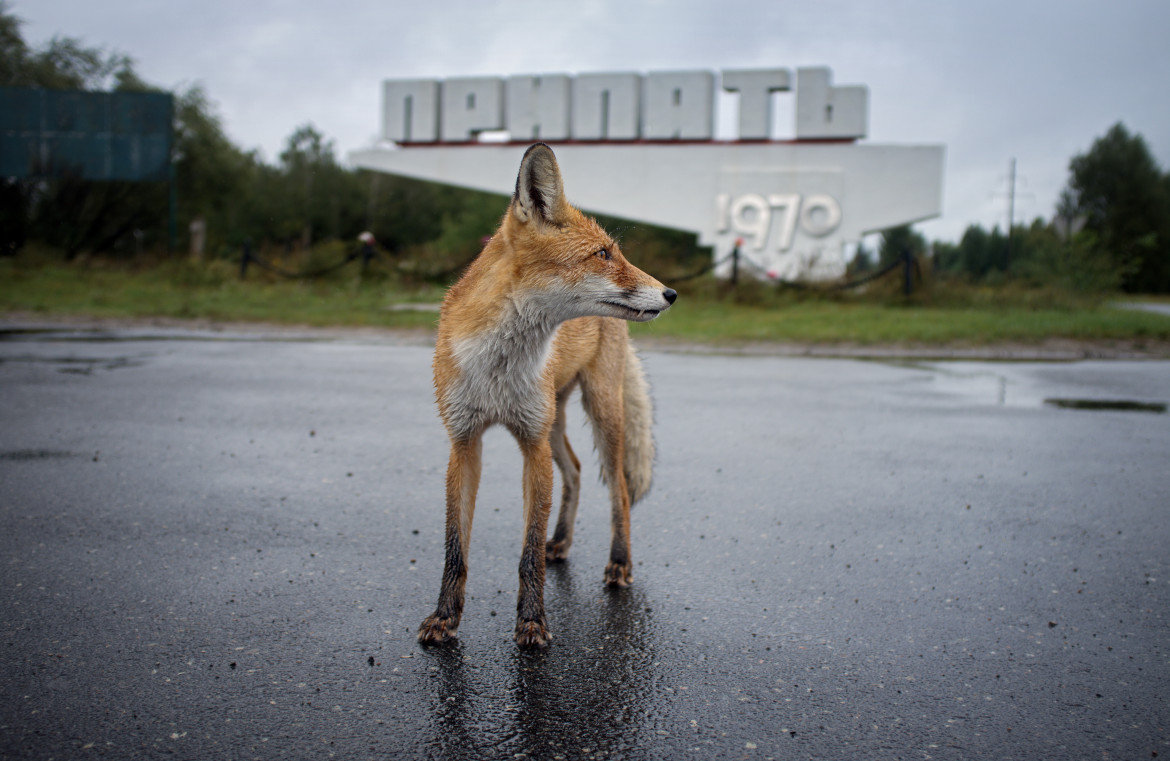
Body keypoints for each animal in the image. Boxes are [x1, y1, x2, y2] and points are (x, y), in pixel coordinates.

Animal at [421, 140, 678, 646]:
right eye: (602, 253)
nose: (671, 293)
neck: (499, 366)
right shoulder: (464, 441)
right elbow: (455, 547)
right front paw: (445, 617)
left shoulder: (532, 444)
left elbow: (528, 553)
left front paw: (532, 622)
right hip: (555, 420)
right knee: (576, 470)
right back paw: (561, 541)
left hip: (600, 410)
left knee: (618, 488)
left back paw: (619, 563)